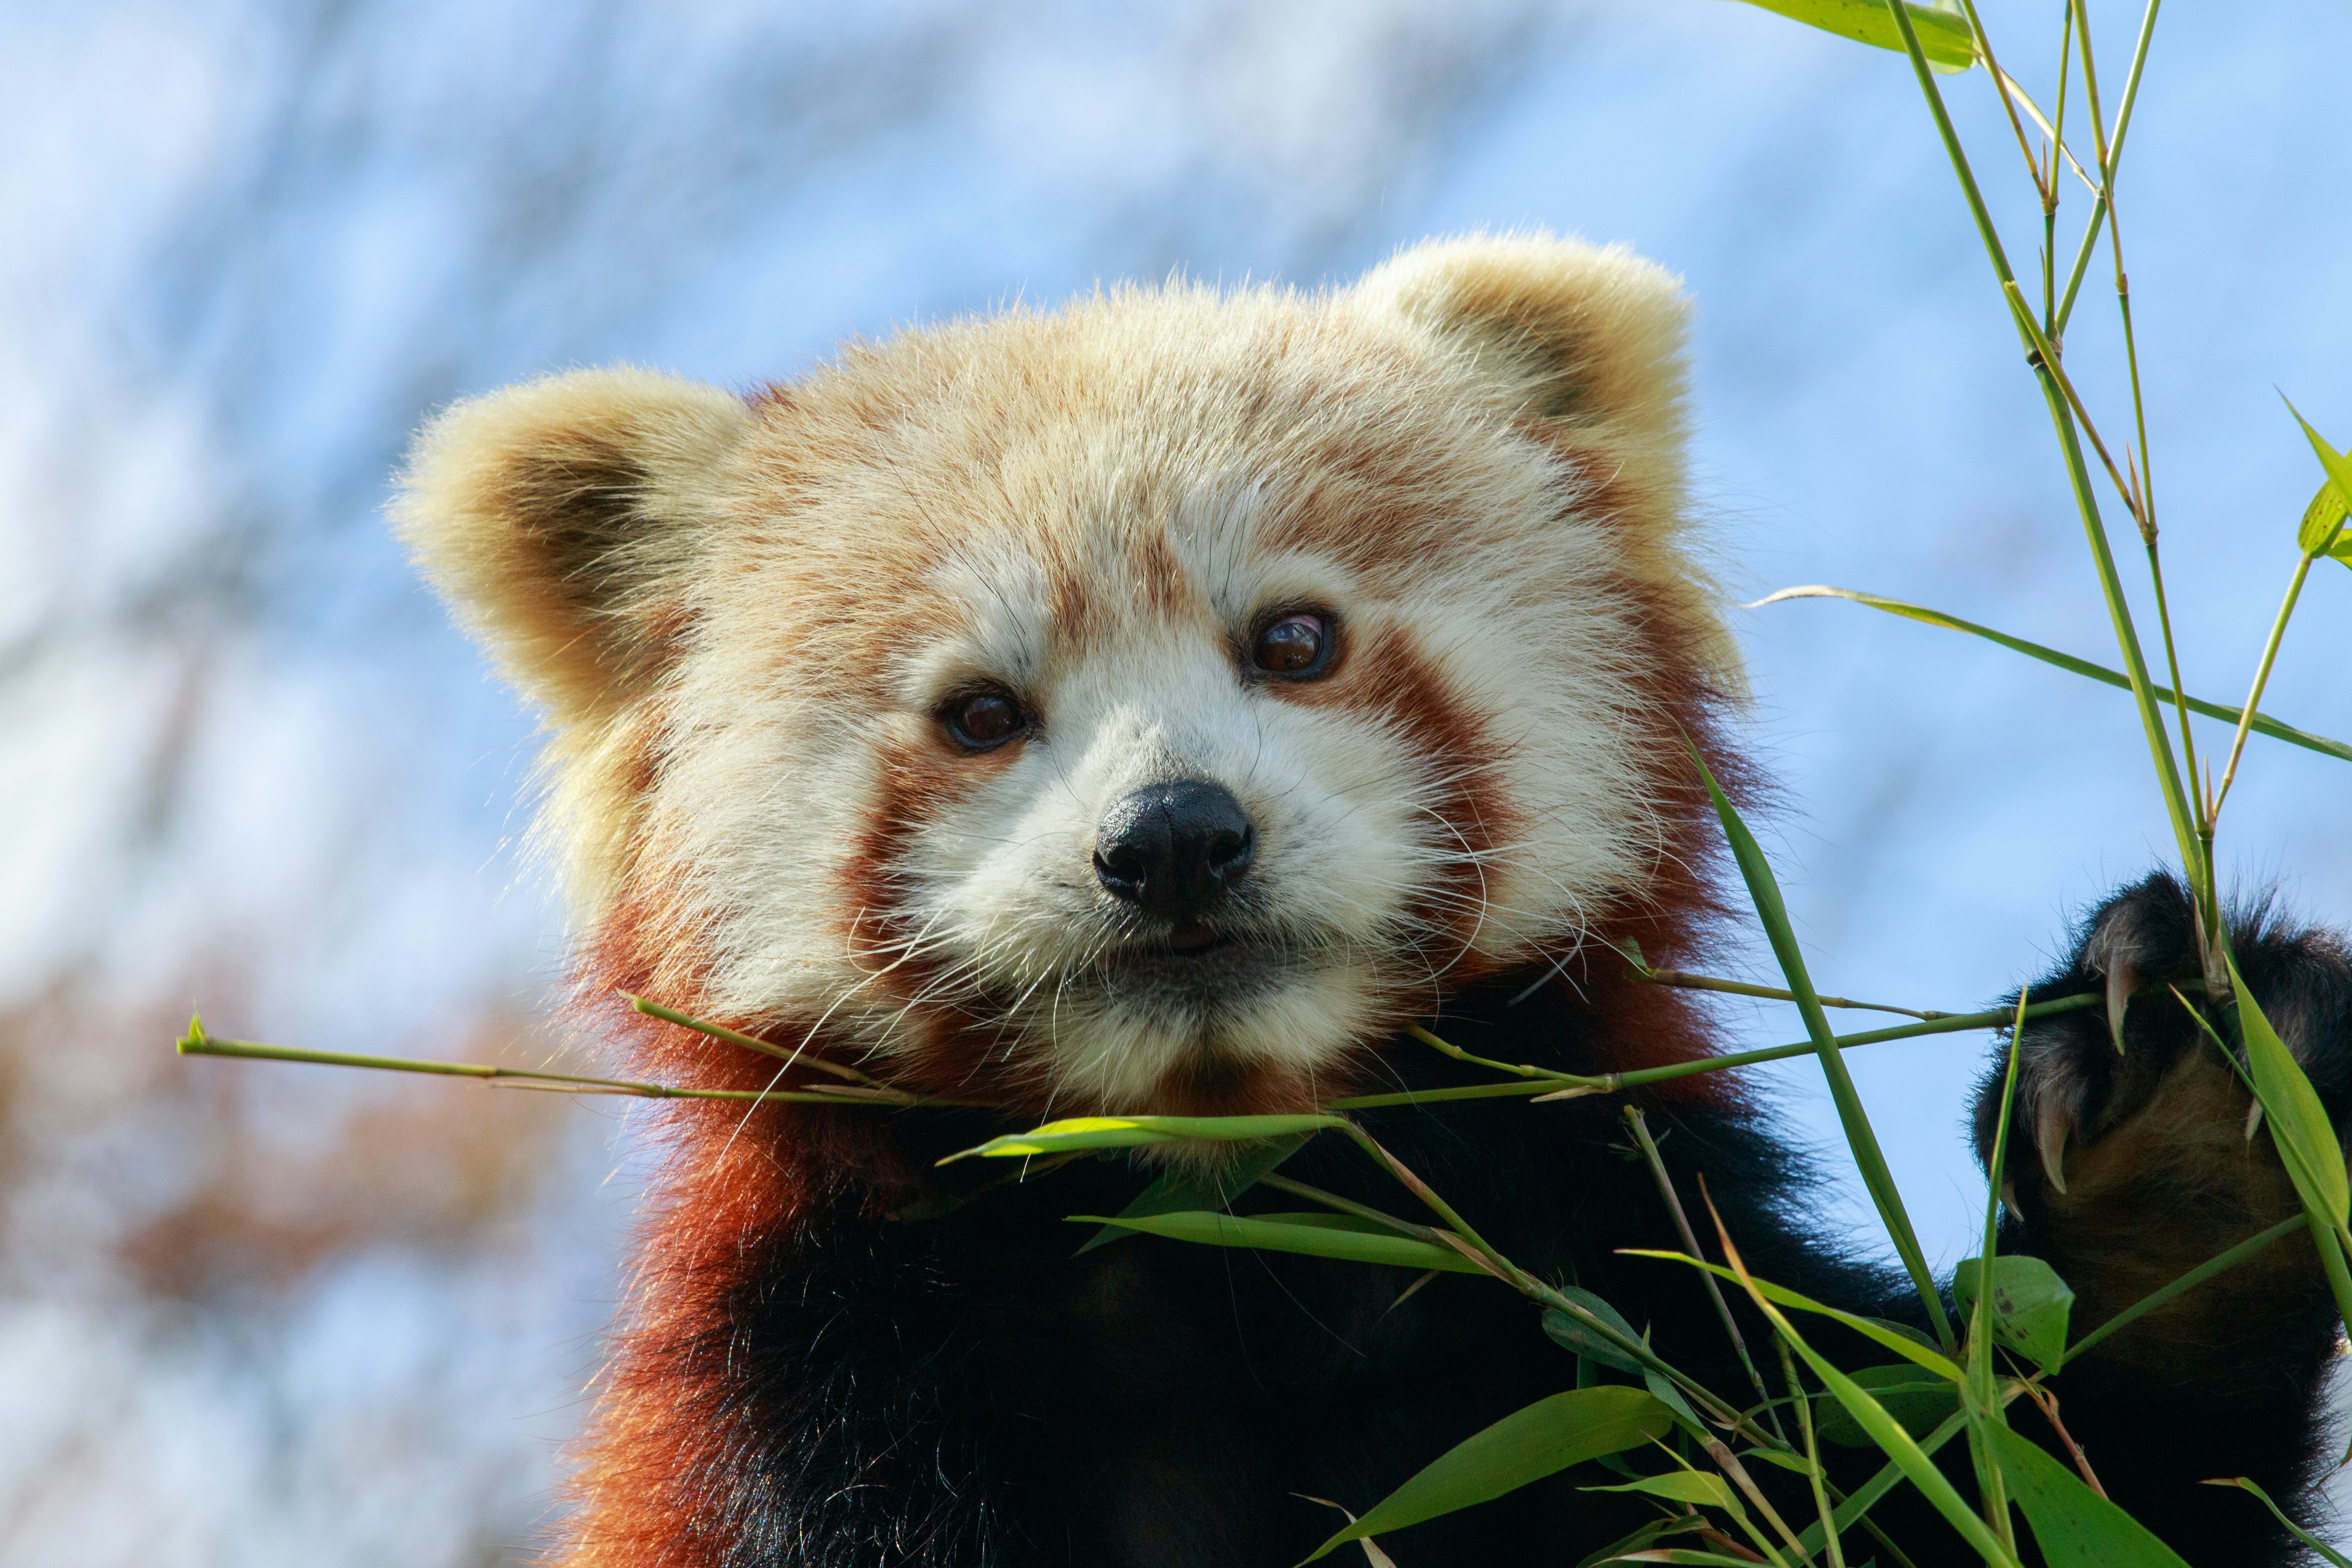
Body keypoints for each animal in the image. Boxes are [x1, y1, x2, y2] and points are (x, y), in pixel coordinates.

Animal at [393, 234, 2352, 1566]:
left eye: (1295, 639)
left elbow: (2040, 1483)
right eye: (977, 715)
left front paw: (2183, 1143)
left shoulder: (1630, 1323)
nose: (1173, 841)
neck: (1240, 1220)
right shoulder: (815, 1413)